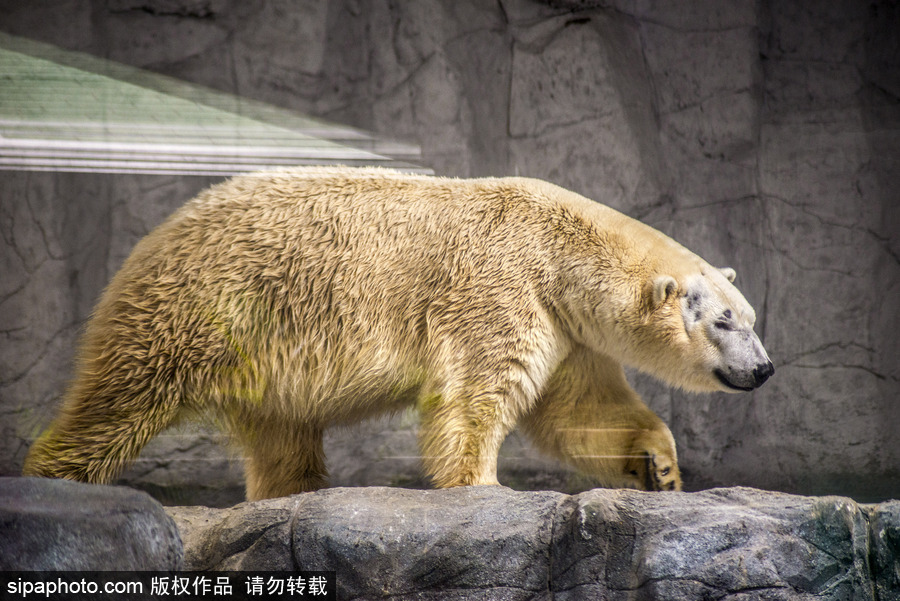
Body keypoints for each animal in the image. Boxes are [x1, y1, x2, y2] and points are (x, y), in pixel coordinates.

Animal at [26, 168, 772, 496]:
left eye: (753, 317)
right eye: (723, 320)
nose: (764, 369)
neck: (559, 249)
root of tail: (155, 235)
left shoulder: (565, 328)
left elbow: (583, 409)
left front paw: (660, 467)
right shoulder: (500, 291)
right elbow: (476, 396)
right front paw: (482, 488)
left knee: (282, 435)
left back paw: (295, 494)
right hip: (204, 309)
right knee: (120, 397)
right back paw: (57, 477)